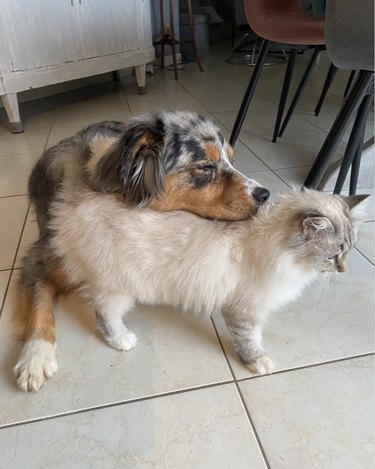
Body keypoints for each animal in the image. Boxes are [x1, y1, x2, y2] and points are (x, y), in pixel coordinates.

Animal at [13, 187, 366, 392]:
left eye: (350, 250)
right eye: (334, 254)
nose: (345, 270)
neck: (278, 248)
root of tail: (69, 209)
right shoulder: (244, 311)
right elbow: (250, 341)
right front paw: (258, 363)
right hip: (118, 289)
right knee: (103, 316)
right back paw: (122, 341)